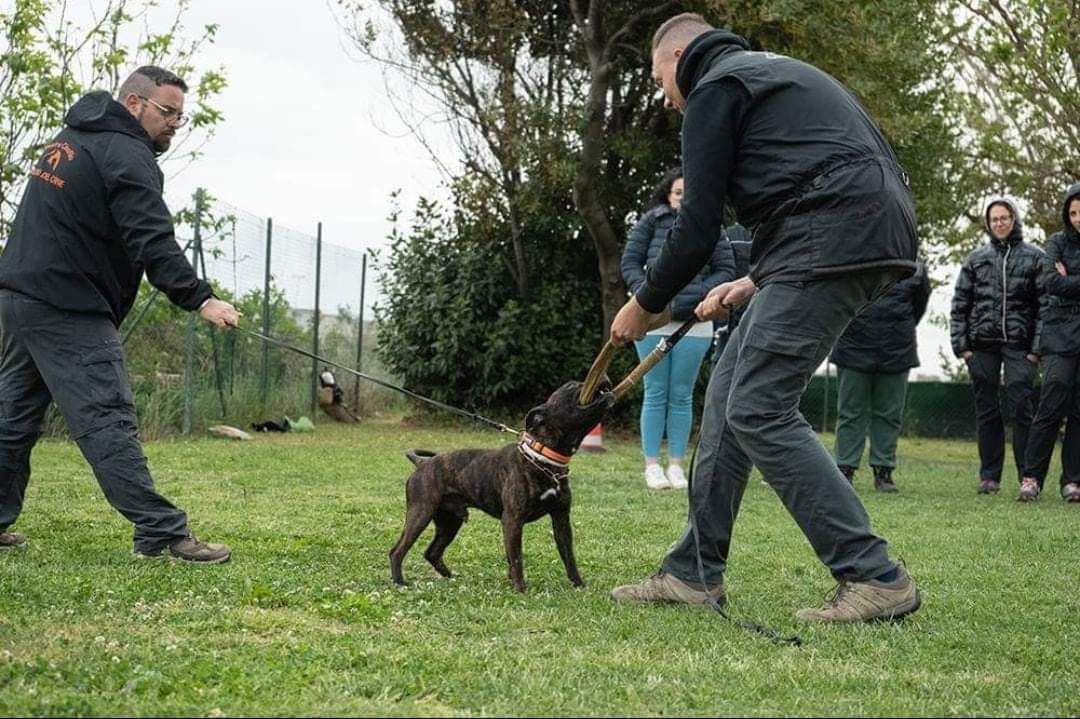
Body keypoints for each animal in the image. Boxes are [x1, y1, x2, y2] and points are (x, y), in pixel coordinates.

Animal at [388, 377, 613, 591]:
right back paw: (400, 582)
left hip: (450, 521)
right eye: (571, 385)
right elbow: (516, 558)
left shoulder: (561, 520)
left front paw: (579, 585)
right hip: (421, 514)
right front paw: (520, 589)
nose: (603, 377)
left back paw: (451, 578)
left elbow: (568, 557)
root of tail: (423, 463)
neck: (542, 456)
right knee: (397, 551)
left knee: (432, 552)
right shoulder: (512, 520)